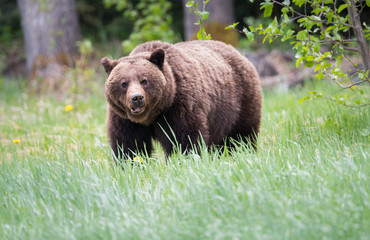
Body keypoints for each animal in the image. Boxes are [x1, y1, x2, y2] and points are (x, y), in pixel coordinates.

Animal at [101, 40, 262, 158]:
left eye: (144, 80)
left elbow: (184, 139)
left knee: (242, 135)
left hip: (239, 100)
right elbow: (129, 145)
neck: (151, 115)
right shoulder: (124, 118)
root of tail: (237, 52)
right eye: (124, 83)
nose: (137, 98)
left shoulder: (179, 106)